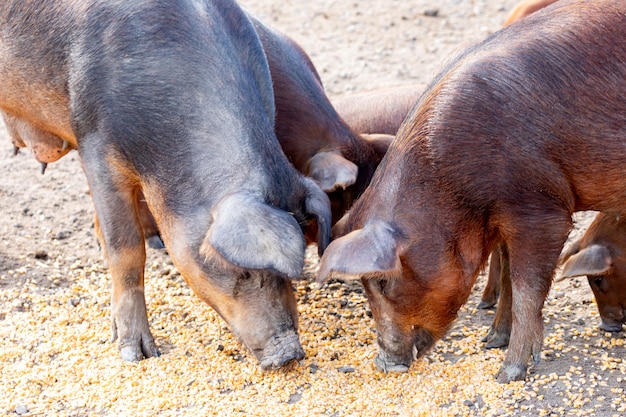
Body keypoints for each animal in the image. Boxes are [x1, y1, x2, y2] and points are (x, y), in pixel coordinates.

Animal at [316, 0, 624, 382]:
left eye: (383, 282)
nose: (384, 364)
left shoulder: (541, 209)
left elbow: (526, 289)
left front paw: (508, 373)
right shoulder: (505, 219)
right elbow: (507, 275)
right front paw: (491, 341)